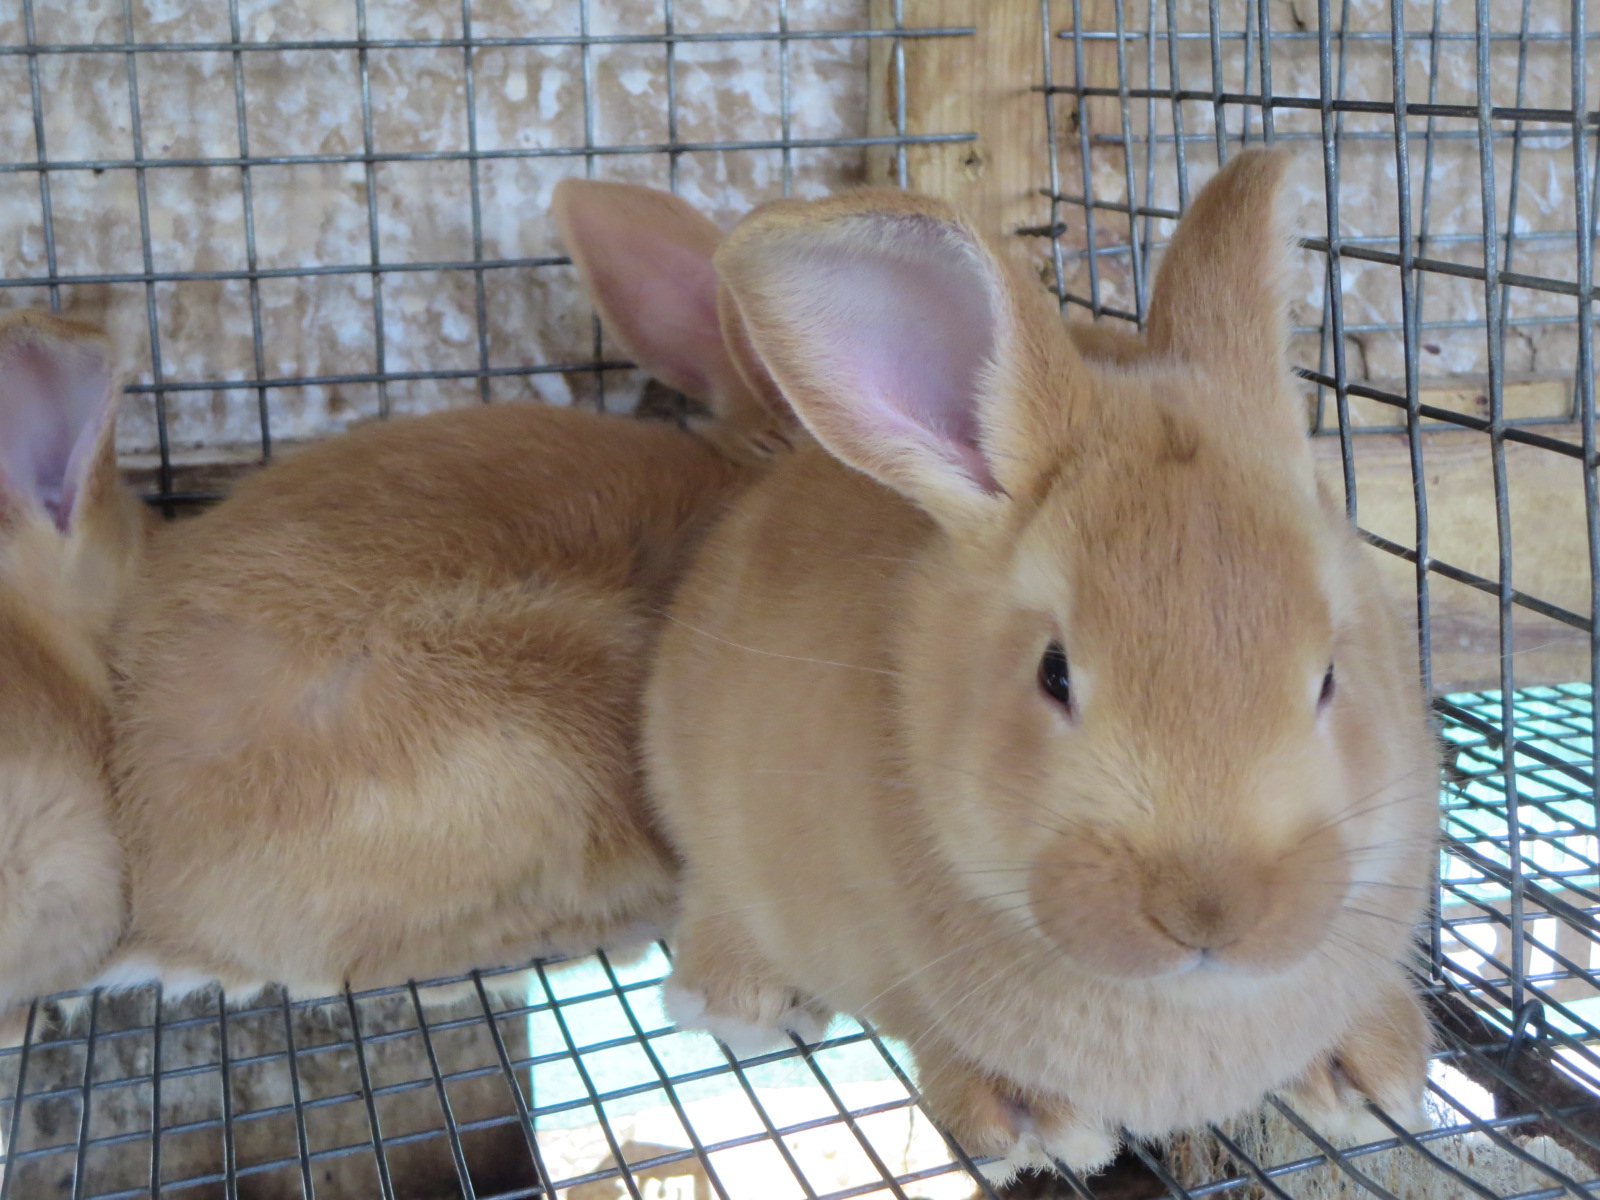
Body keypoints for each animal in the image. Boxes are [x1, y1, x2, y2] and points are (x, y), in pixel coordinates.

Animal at [641, 149, 1441, 1181]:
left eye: (1331, 675)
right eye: (1054, 673)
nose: (1210, 913)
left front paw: (1372, 1077)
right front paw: (1036, 1128)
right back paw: (735, 1003)